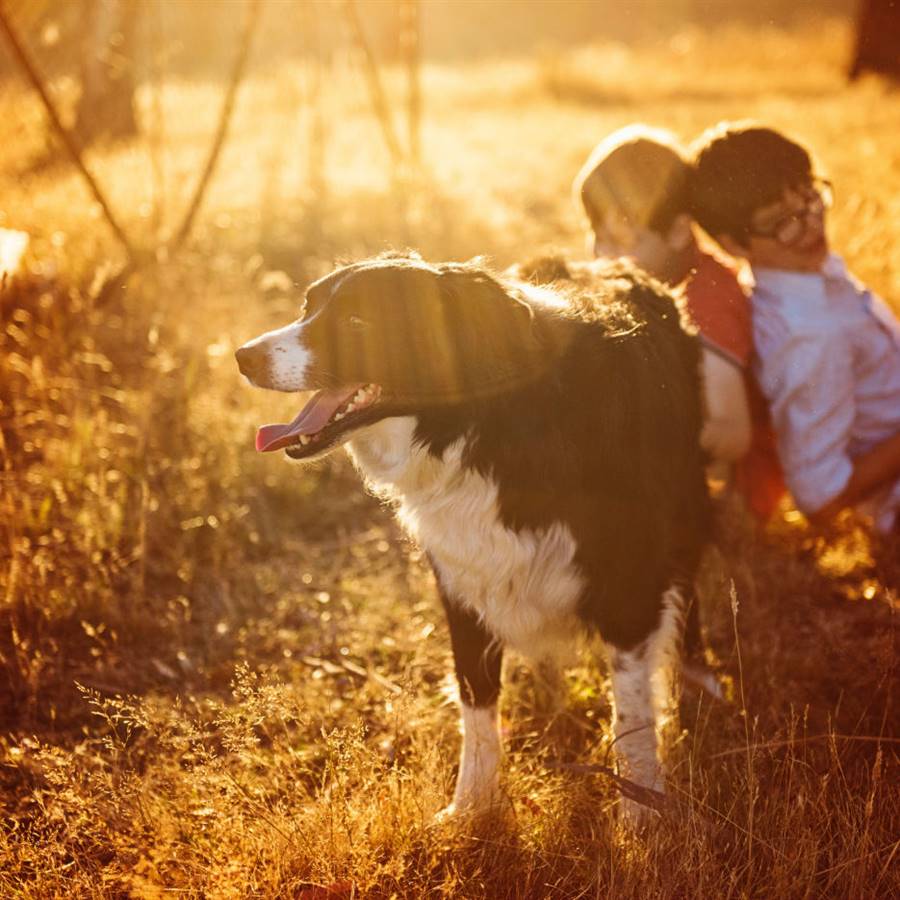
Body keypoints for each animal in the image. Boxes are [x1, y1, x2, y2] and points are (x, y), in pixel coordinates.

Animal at [236, 251, 712, 824]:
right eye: (308, 306)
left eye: (357, 323)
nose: (242, 357)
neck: (483, 425)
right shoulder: (463, 579)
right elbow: (476, 702)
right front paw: (471, 809)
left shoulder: (628, 582)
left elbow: (632, 712)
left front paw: (642, 814)